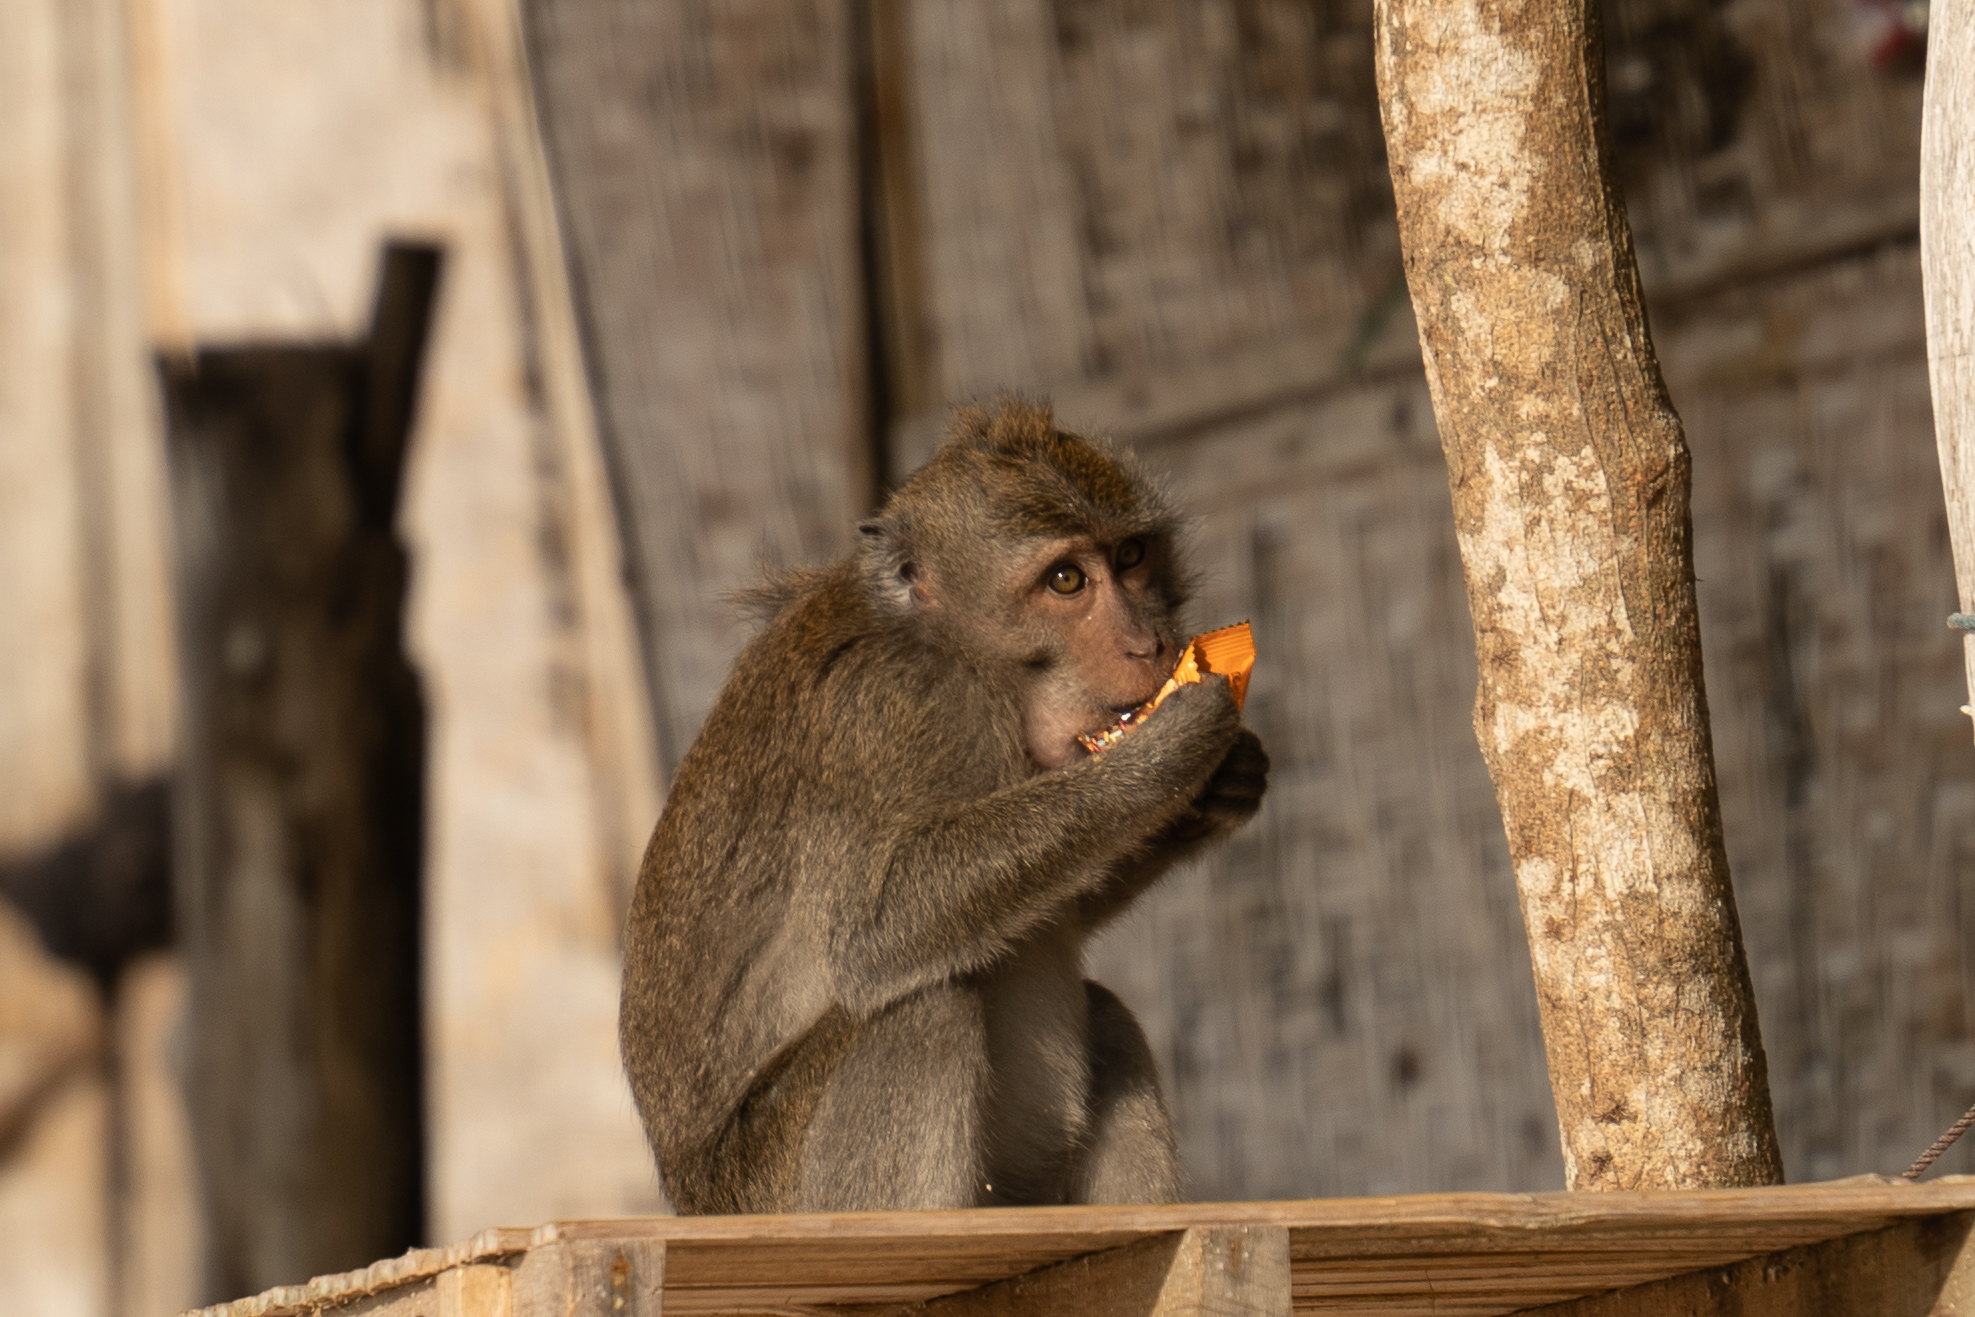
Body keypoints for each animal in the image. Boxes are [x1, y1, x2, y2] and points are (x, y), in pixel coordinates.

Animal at [620, 398, 1269, 1215]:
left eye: (1130, 557)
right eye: (1066, 580)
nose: (1149, 642)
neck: (956, 651)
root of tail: (691, 1201)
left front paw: (1221, 788)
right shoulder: (895, 706)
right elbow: (874, 926)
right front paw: (1166, 755)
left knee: (1105, 1015)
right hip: (778, 1191)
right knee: (923, 1006)